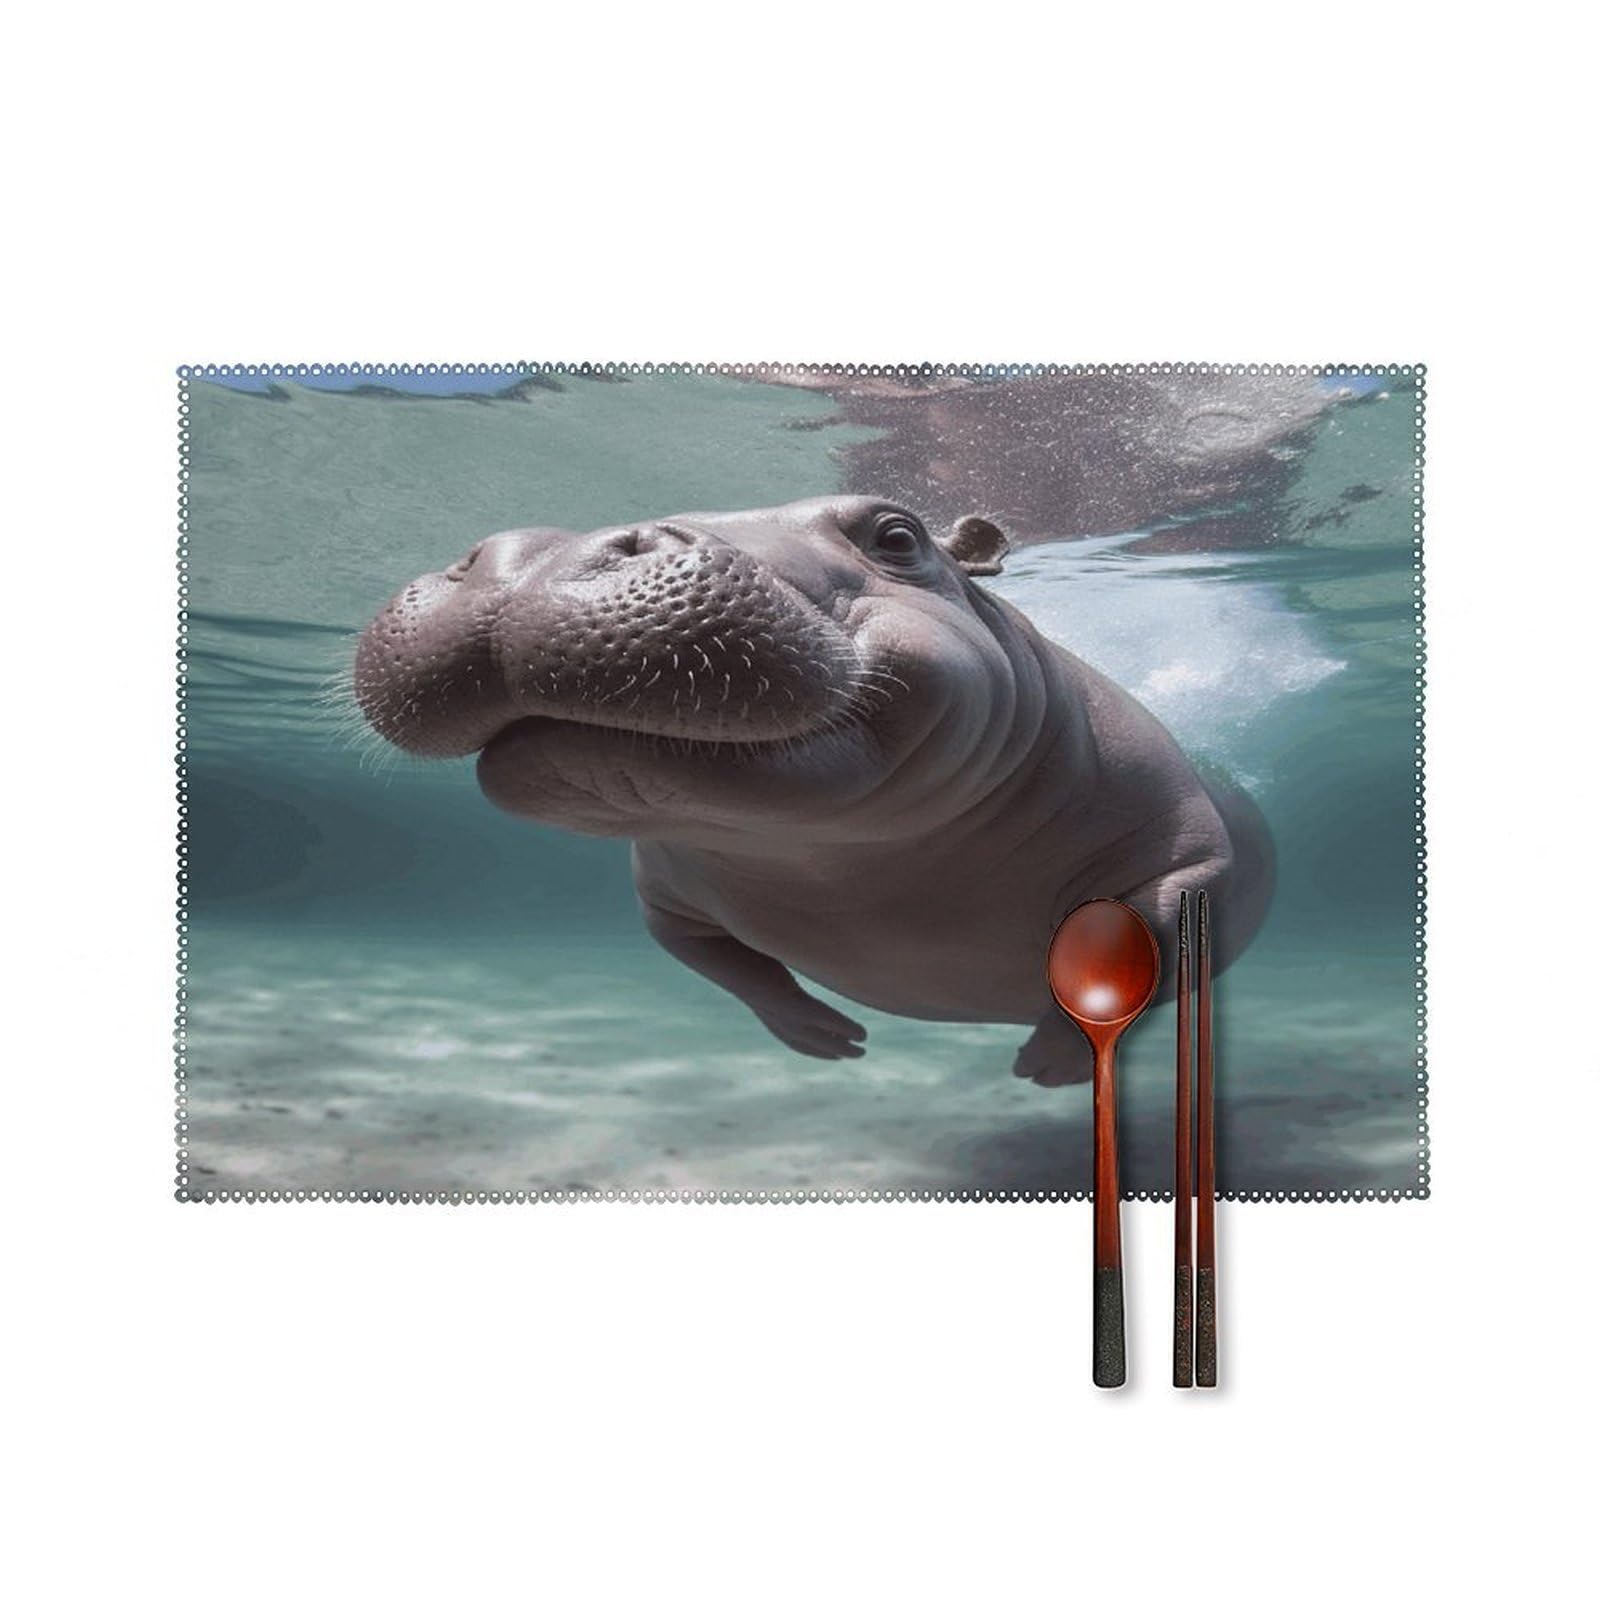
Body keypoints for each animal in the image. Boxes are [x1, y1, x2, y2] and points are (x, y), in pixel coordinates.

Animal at [355, 496, 1274, 1085]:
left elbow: (1154, 949)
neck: (838, 862)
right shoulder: (665, 900)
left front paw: (1048, 1066)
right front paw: (833, 1041)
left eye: (897, 535)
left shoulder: (1191, 868)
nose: (548, 551)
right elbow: (731, 970)